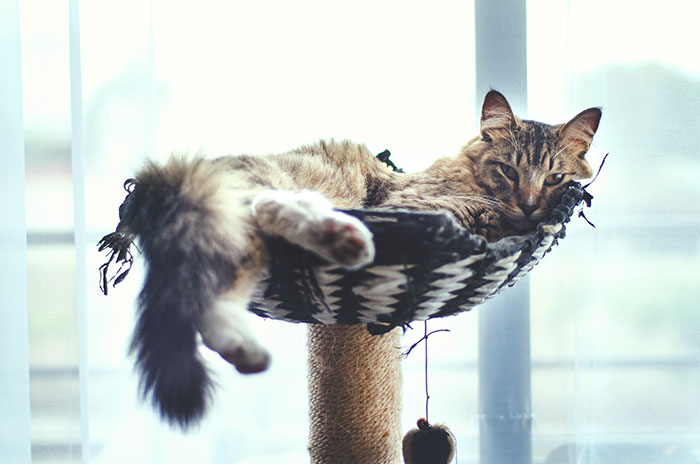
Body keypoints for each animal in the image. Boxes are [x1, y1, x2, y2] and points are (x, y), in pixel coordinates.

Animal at [104, 90, 600, 428]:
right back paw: (344, 238)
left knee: (214, 308)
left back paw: (248, 349)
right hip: (264, 191)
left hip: (240, 247)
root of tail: (164, 175)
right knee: (267, 207)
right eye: (509, 171)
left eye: (555, 178)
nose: (532, 206)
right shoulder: (417, 206)